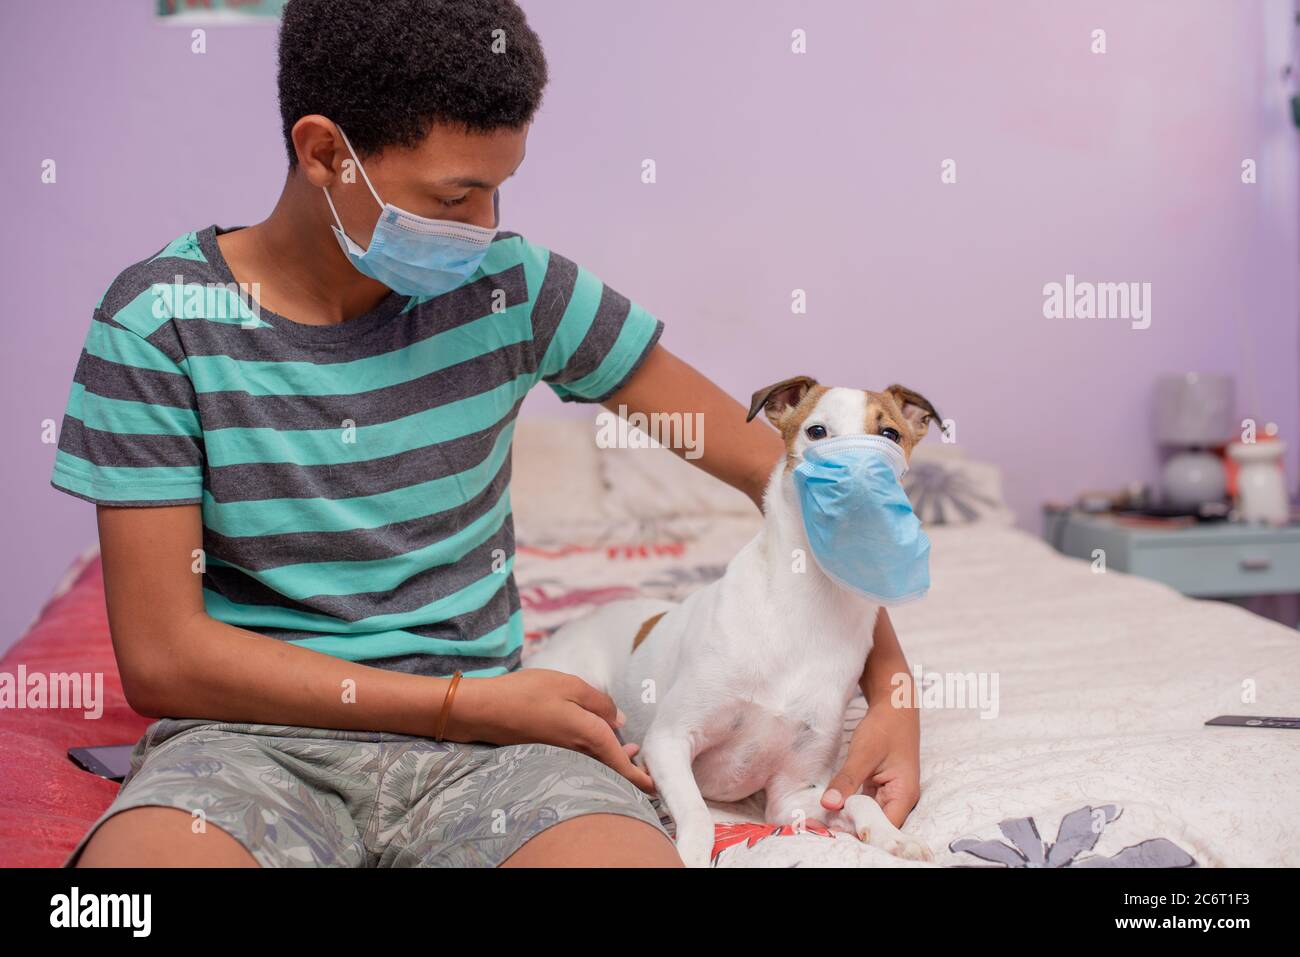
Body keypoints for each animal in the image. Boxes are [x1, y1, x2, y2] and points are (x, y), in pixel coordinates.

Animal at [522, 374, 941, 868]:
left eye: (890, 434)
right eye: (816, 432)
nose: (857, 485)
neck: (808, 605)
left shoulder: (793, 796)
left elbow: (856, 797)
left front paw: (892, 836)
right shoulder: (668, 742)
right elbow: (700, 815)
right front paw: (690, 852)